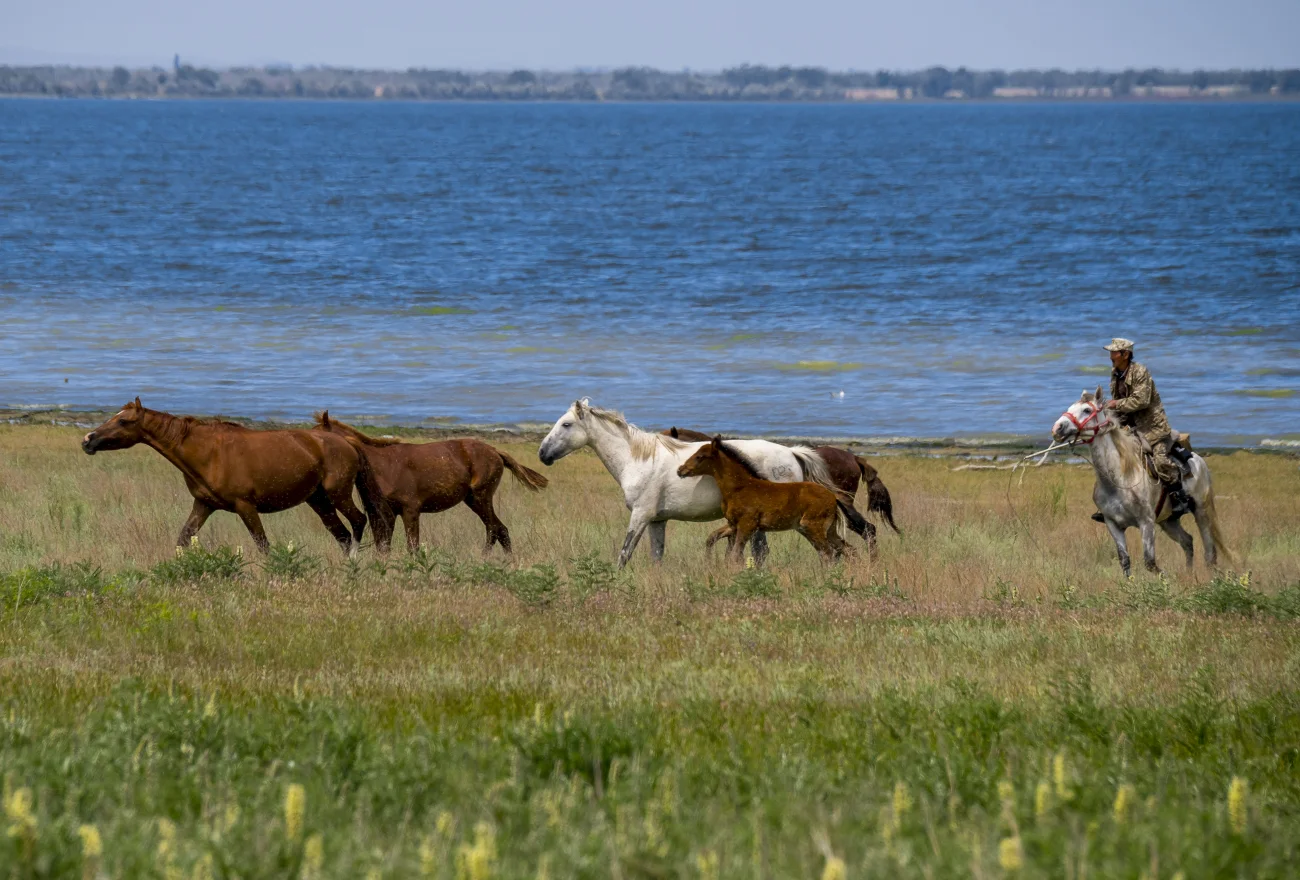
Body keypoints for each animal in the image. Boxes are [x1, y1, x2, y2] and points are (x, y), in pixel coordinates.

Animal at [81, 398, 367, 554]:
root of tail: (347, 443)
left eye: (122, 421)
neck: (208, 453)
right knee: (342, 535)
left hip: (338, 495)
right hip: (318, 500)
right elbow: (183, 540)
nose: (87, 440)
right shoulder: (203, 505)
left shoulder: (245, 507)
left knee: (358, 522)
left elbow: (263, 545)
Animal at [314, 412, 548, 555]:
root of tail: (495, 451)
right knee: (500, 530)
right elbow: (384, 547)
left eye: (317, 436)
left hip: (482, 498)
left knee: (494, 529)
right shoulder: (387, 513)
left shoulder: (410, 511)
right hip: (473, 500)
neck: (383, 464)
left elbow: (413, 547)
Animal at [537, 399, 843, 568]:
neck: (637, 459)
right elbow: (656, 556)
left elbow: (625, 553)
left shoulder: (640, 515)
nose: (542, 454)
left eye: (566, 425)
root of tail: (792, 453)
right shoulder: (657, 521)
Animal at [678, 436, 862, 564]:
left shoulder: (747, 525)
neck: (740, 487)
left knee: (828, 554)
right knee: (848, 550)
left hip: (812, 527)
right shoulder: (733, 525)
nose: (681, 470)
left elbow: (736, 554)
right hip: (826, 530)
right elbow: (715, 540)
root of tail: (833, 497)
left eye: (700, 456)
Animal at [1051, 387, 1230, 577]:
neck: (1120, 479)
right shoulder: (1113, 524)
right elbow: (1125, 561)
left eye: (1086, 410)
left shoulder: (1146, 522)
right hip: (1168, 521)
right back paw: (1188, 574)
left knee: (1210, 551)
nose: (1057, 428)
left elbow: (1150, 562)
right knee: (1187, 541)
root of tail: (1198, 460)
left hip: (1201, 511)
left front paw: (1166, 577)